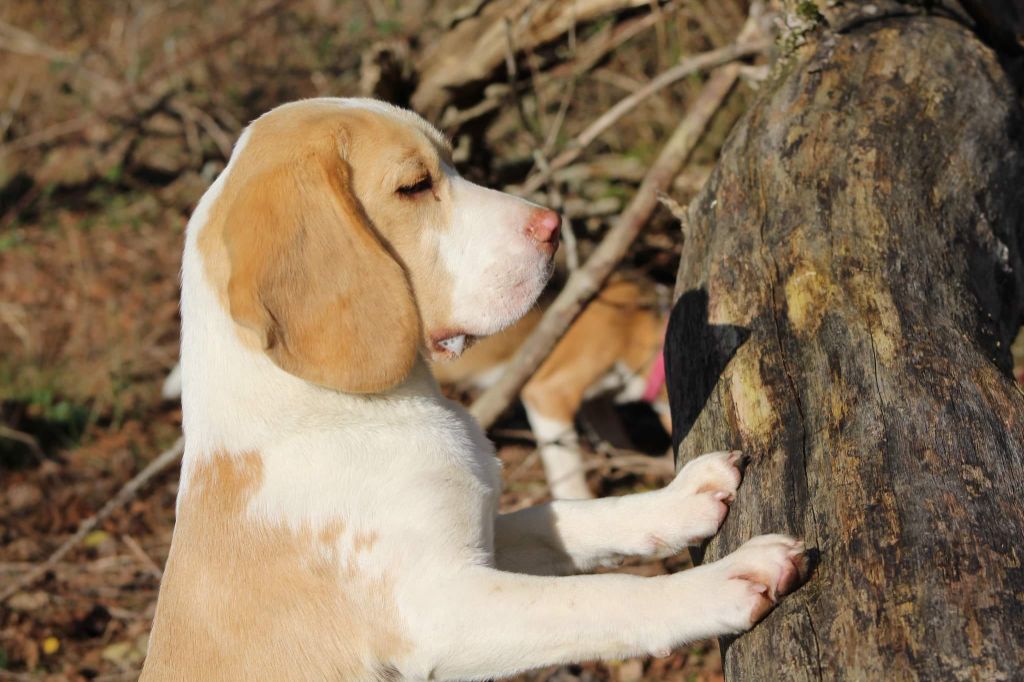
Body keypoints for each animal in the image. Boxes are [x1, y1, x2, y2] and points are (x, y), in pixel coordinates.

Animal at [140, 96, 802, 679]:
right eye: (415, 186)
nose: (553, 225)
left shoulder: (482, 542)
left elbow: (567, 514)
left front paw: (677, 499)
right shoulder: (442, 610)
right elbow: (604, 596)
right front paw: (724, 582)